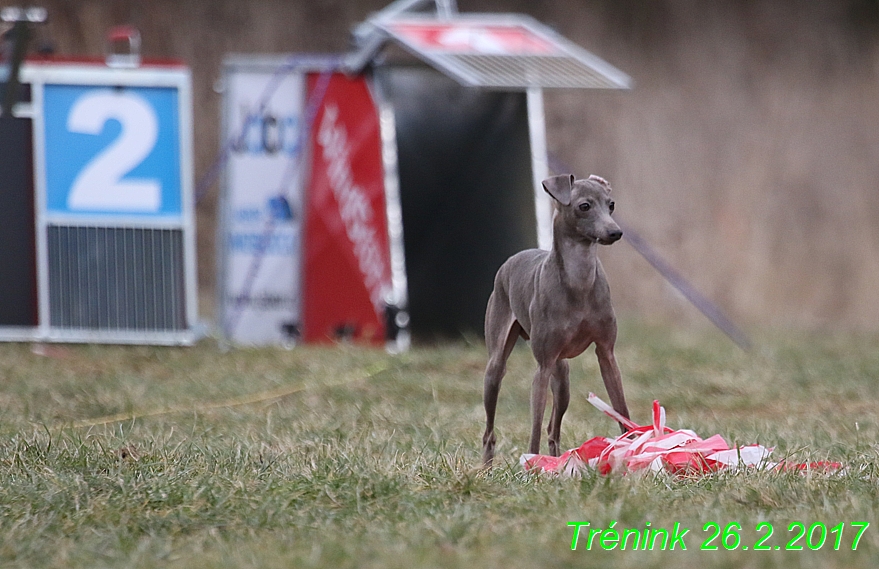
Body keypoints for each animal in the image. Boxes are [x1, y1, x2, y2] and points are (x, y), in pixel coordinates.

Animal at [482, 173, 632, 466]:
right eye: (584, 206)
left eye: (611, 204)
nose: (615, 232)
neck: (579, 283)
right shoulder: (542, 366)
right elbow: (534, 426)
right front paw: (531, 464)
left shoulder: (606, 354)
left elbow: (621, 409)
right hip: (496, 368)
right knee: (490, 431)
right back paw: (486, 467)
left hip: (562, 379)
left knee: (554, 429)